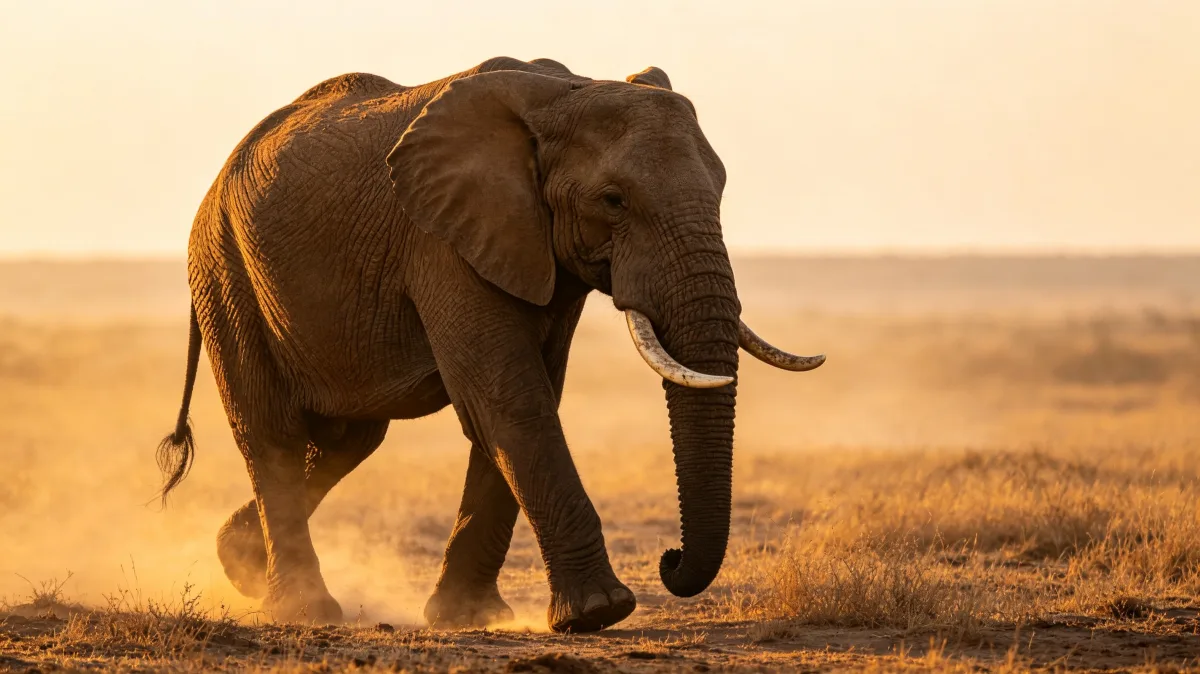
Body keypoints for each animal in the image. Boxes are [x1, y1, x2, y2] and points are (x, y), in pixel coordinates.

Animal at [155, 56, 823, 634]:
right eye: (613, 200)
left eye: (722, 190)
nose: (669, 559)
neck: (565, 92)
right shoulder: (441, 240)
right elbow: (510, 399)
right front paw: (599, 613)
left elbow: (521, 398)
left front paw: (469, 619)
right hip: (223, 270)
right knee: (272, 433)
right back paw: (307, 611)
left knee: (348, 438)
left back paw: (238, 564)